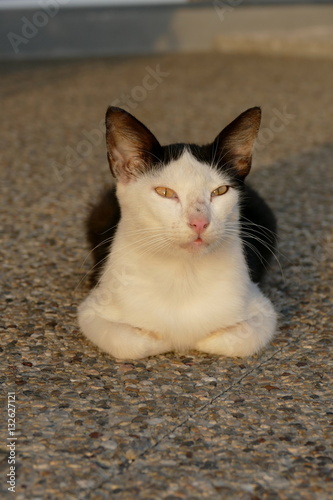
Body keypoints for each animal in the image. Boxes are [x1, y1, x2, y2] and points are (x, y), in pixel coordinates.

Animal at [76, 105, 276, 360]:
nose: (199, 222)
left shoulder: (263, 310)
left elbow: (234, 341)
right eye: (165, 192)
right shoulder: (91, 310)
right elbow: (130, 343)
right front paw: (163, 339)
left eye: (220, 191)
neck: (183, 271)